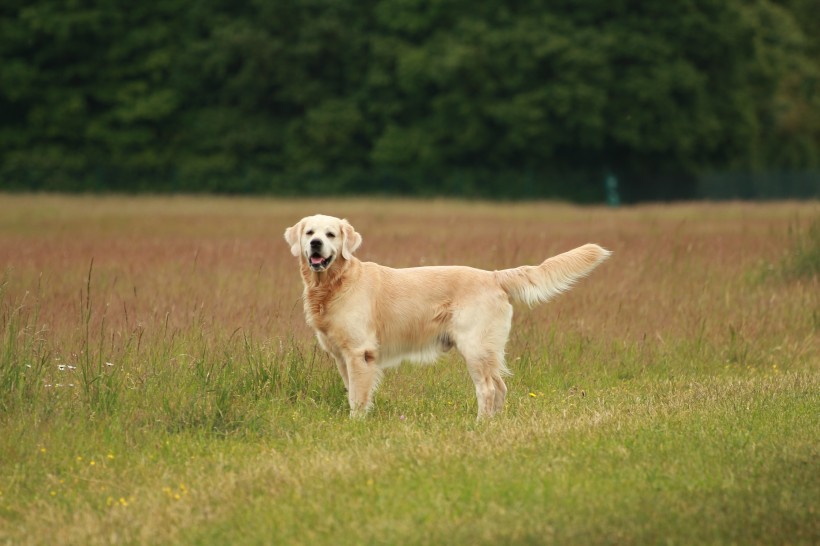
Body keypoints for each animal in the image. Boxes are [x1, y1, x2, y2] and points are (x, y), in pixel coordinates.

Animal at [282, 212, 608, 416]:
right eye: (309, 232)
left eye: (331, 234)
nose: (315, 244)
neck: (334, 284)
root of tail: (493, 276)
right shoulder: (342, 356)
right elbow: (352, 391)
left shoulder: (360, 352)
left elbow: (358, 396)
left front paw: (357, 424)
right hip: (487, 350)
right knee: (501, 386)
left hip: (475, 347)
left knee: (488, 389)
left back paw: (480, 425)